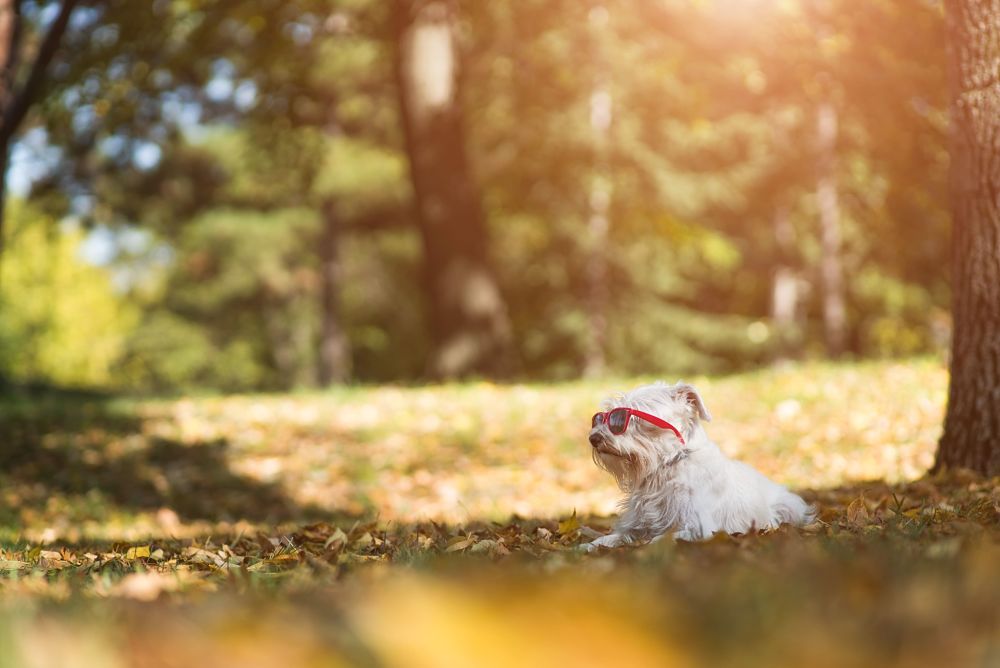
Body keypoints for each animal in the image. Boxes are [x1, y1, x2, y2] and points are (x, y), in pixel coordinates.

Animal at [584, 380, 812, 548]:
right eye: (599, 418)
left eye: (624, 418)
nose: (593, 438)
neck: (667, 467)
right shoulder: (637, 523)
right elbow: (614, 536)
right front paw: (590, 545)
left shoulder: (698, 526)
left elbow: (660, 538)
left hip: (788, 507)